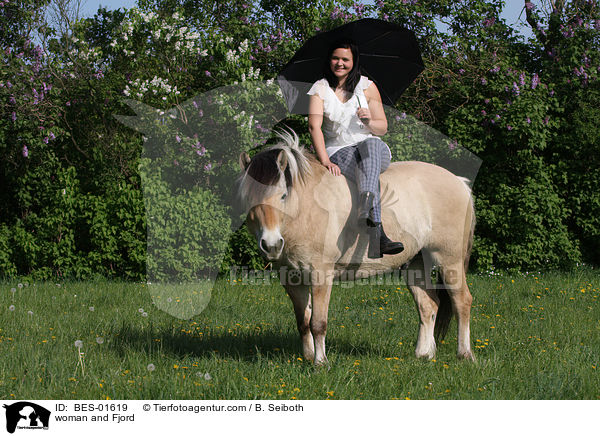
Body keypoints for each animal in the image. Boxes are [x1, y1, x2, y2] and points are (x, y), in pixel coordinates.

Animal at [237, 130, 476, 368]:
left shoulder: (320, 274)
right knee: (428, 305)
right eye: (248, 199)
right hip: (414, 265)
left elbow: (318, 323)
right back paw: (423, 353)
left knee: (462, 301)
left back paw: (465, 354)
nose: (271, 245)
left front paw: (320, 363)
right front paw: (307, 357)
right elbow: (303, 322)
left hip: (449, 260)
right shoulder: (291, 278)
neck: (306, 208)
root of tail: (459, 182)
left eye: (283, 195)